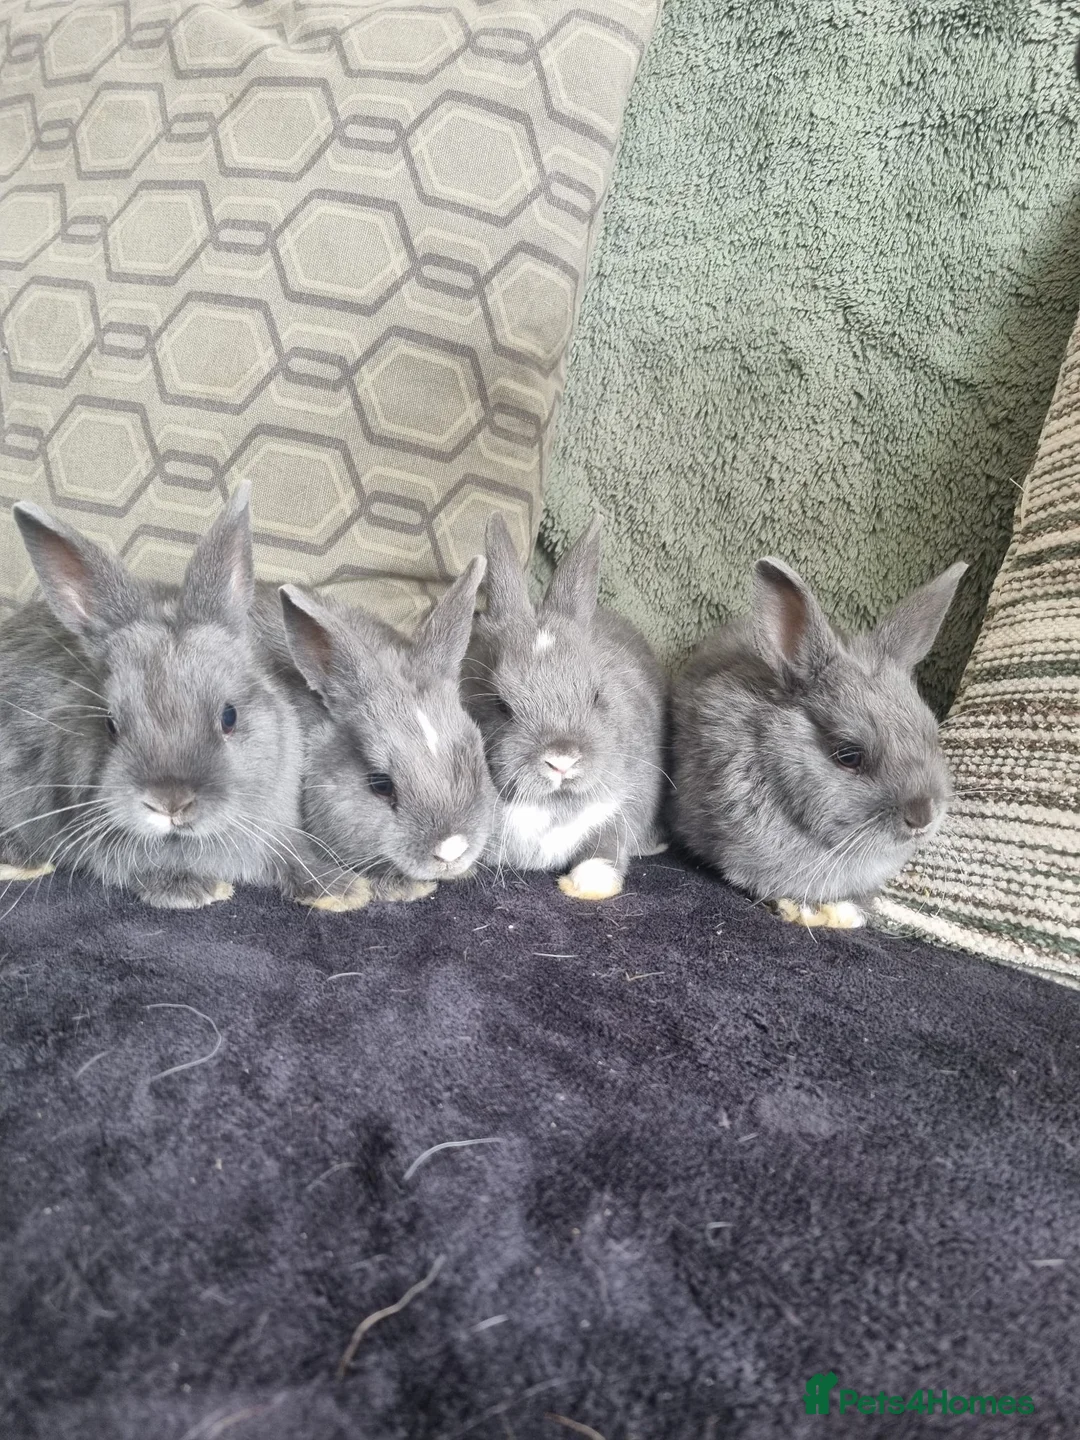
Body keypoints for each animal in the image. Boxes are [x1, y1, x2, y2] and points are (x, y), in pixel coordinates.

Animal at [0, 485, 368, 911]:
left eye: (229, 716)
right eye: (110, 724)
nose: (169, 803)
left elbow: (293, 853)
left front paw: (343, 890)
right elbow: (141, 868)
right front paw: (198, 889)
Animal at [463, 513, 668, 901]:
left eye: (597, 695)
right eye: (501, 704)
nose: (561, 760)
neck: (548, 806)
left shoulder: (624, 806)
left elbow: (607, 845)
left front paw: (587, 886)